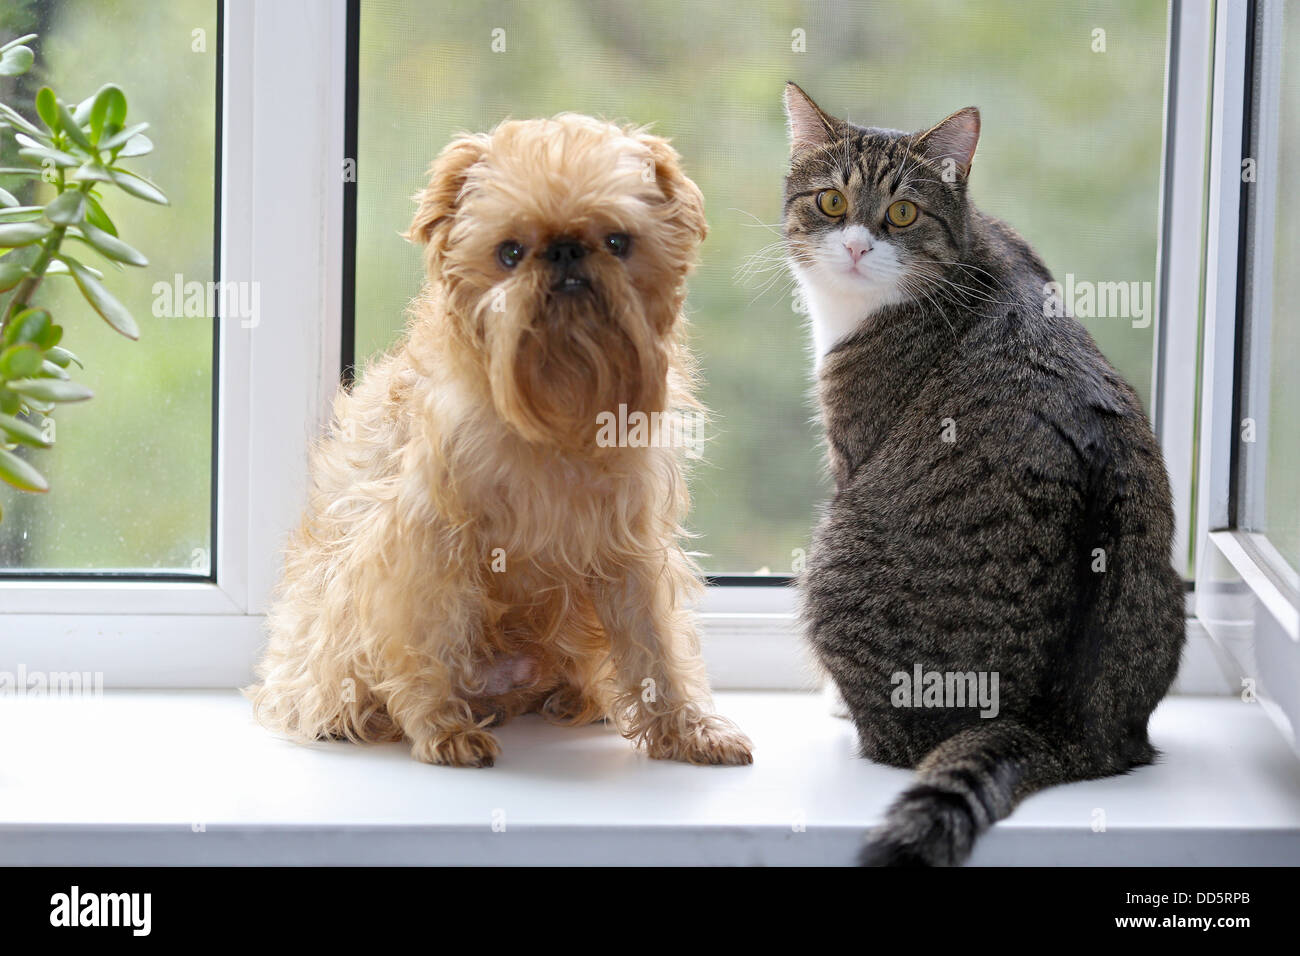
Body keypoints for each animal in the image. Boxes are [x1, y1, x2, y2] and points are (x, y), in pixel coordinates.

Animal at [248, 113, 754, 770]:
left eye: (618, 242)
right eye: (509, 253)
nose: (564, 250)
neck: (557, 410)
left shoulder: (629, 547)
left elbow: (655, 643)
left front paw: (688, 727)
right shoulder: (423, 544)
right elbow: (427, 639)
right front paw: (441, 727)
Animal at [780, 83, 1190, 868]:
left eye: (902, 213)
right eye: (830, 202)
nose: (856, 245)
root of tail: (1056, 727)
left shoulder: (852, 451)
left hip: (833, 558)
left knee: (892, 742)